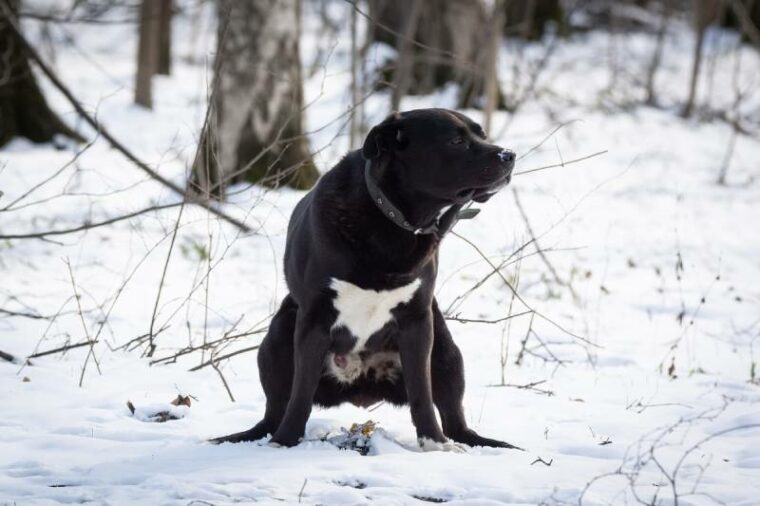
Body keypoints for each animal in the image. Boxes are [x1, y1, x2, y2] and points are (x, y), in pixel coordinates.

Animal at [217, 108, 520, 448]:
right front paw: (285, 442)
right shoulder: (314, 319)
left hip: (446, 348)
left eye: (482, 134)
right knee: (275, 411)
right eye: (456, 141)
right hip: (280, 331)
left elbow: (422, 392)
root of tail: (361, 385)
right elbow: (301, 393)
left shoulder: (418, 321)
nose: (509, 155)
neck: (392, 221)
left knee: (455, 419)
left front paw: (432, 443)